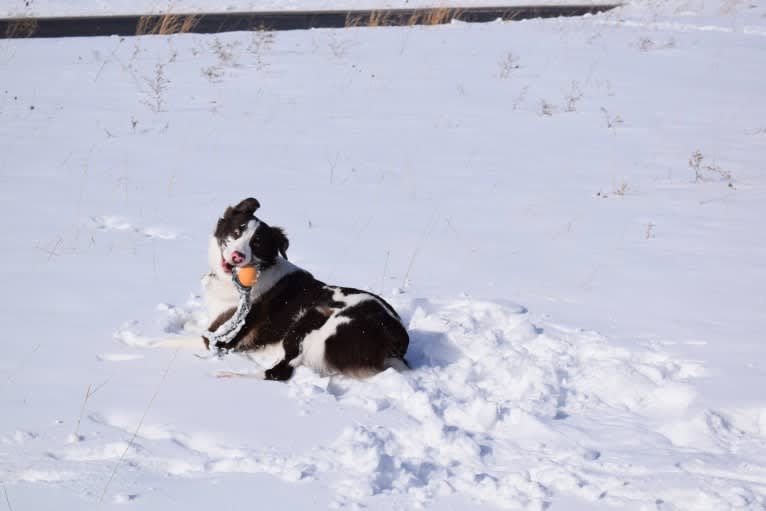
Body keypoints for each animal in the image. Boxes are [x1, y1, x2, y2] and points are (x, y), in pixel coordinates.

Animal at [201, 198, 412, 382]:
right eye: (237, 231)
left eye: (257, 244)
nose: (237, 256)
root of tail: (396, 332)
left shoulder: (222, 336)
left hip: (310, 322)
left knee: (278, 372)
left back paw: (227, 374)